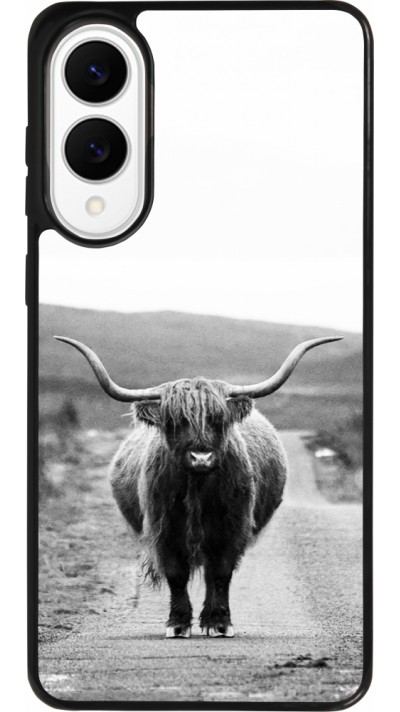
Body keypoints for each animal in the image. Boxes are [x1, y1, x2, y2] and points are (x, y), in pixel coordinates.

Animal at [55, 334, 341, 638]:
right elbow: (176, 574)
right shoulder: (164, 529)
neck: (198, 488)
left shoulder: (232, 527)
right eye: (175, 421)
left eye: (218, 419)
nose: (201, 457)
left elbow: (221, 573)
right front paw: (178, 623)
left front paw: (219, 622)